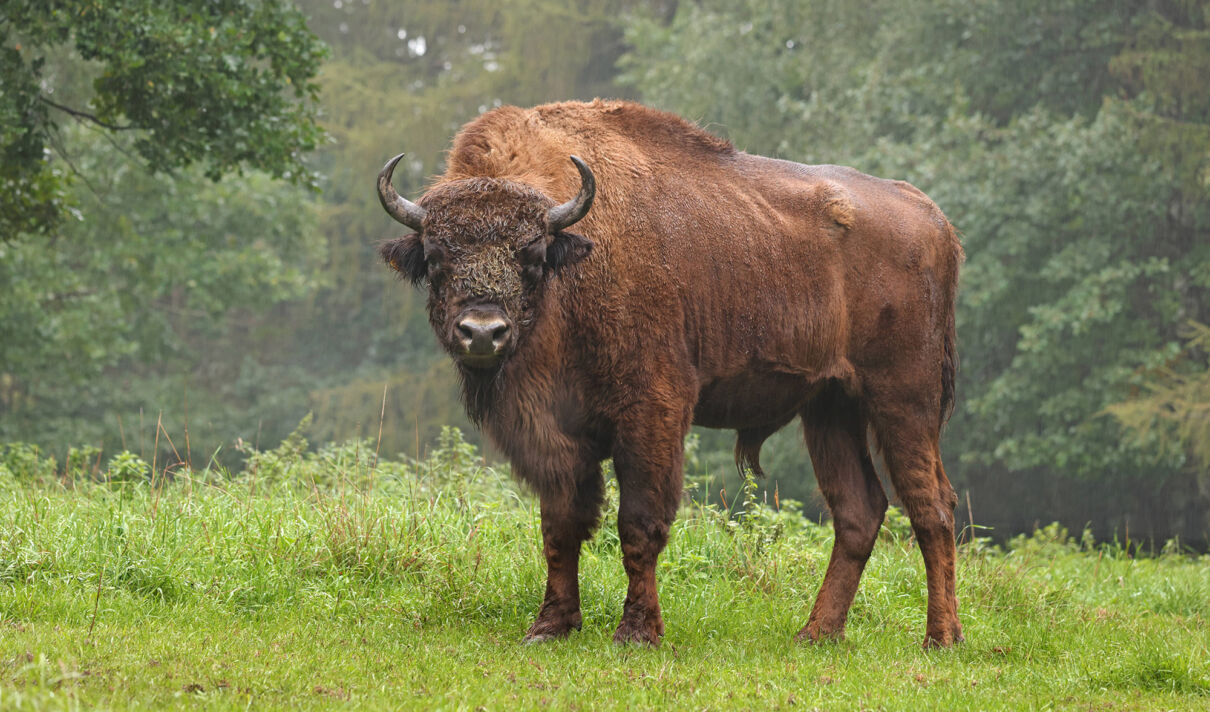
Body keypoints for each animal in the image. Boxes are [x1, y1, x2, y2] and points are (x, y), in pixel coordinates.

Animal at [375, 99, 963, 649]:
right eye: (436, 255)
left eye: (533, 254)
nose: (482, 333)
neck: (575, 263)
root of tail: (933, 218)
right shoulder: (554, 435)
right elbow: (559, 527)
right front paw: (550, 626)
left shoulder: (652, 411)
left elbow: (638, 524)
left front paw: (637, 633)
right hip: (830, 406)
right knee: (859, 510)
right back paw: (816, 633)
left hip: (903, 399)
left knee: (932, 505)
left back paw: (940, 637)